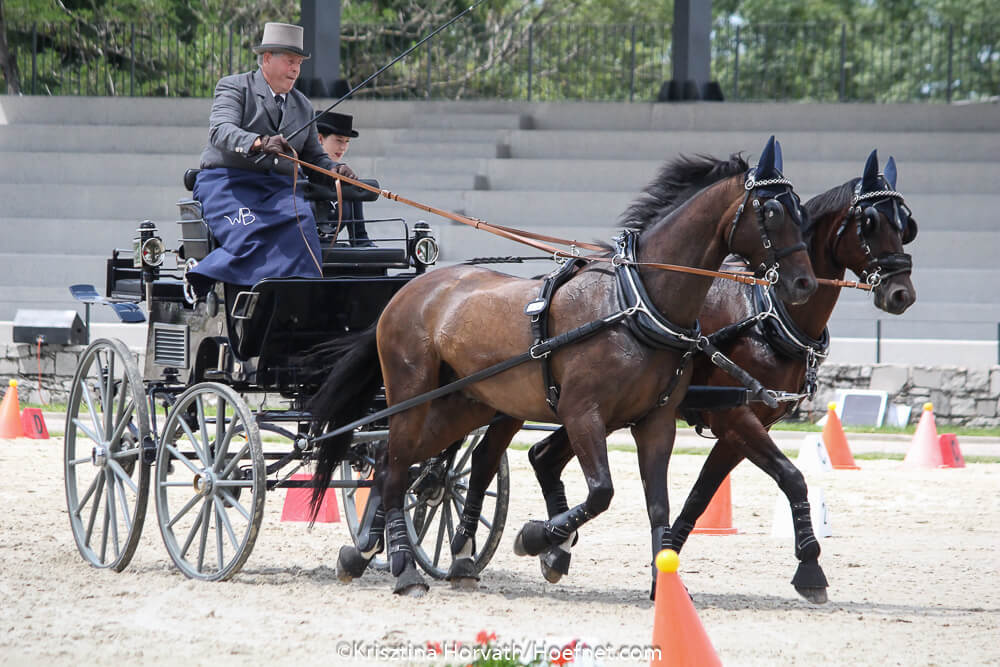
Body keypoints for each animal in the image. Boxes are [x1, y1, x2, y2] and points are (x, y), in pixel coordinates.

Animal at [307, 136, 818, 596]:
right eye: (772, 212)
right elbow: (601, 491)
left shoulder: (656, 422)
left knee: (400, 466)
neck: (634, 303)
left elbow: (658, 506)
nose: (804, 284)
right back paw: (404, 568)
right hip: (411, 394)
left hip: (463, 404)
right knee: (397, 469)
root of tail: (411, 289)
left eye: (803, 212)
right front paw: (536, 538)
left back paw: (364, 555)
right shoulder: (581, 413)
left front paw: (666, 587)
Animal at [525, 149, 917, 603]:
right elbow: (793, 478)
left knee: (543, 456)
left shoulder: (743, 427)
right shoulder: (735, 418)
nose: (902, 293)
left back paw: (556, 550)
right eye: (870, 222)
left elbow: (699, 498)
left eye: (906, 225)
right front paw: (810, 568)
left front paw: (667, 565)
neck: (765, 315)